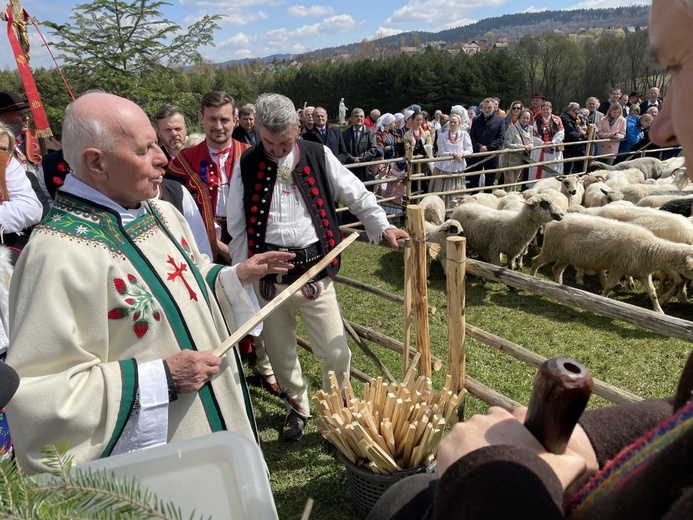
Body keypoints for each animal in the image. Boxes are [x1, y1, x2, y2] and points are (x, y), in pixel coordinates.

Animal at [528, 211, 692, 312]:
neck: (650, 249)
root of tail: (552, 222)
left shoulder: (643, 273)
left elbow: (653, 293)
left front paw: (659, 311)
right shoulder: (617, 267)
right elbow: (609, 286)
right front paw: (602, 301)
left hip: (565, 255)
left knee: (556, 269)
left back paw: (559, 286)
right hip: (551, 249)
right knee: (535, 261)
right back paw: (532, 278)